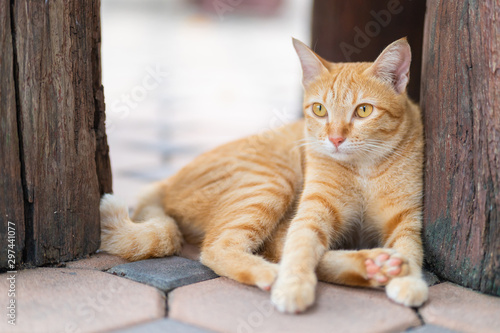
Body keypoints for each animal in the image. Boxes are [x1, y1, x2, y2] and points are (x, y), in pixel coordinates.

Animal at [99, 37, 428, 312]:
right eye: (320, 110)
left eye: (363, 111)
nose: (335, 139)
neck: (363, 169)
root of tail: (165, 183)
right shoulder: (311, 212)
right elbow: (300, 248)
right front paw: (293, 286)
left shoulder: (406, 218)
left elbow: (411, 250)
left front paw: (409, 280)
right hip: (271, 183)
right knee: (223, 248)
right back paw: (278, 272)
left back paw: (375, 265)